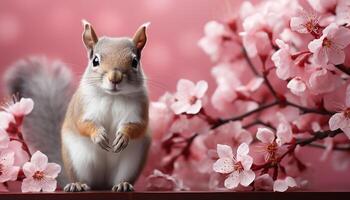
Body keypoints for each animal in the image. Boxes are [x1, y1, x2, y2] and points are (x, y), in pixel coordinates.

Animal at [3, 19, 152, 192]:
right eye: (95, 60)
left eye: (135, 62)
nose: (115, 77)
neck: (112, 97)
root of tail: (102, 185)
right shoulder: (81, 107)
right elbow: (82, 123)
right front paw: (98, 135)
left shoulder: (139, 109)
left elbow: (138, 126)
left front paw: (123, 136)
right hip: (78, 160)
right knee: (82, 178)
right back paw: (77, 185)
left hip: (131, 162)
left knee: (121, 177)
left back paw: (122, 184)